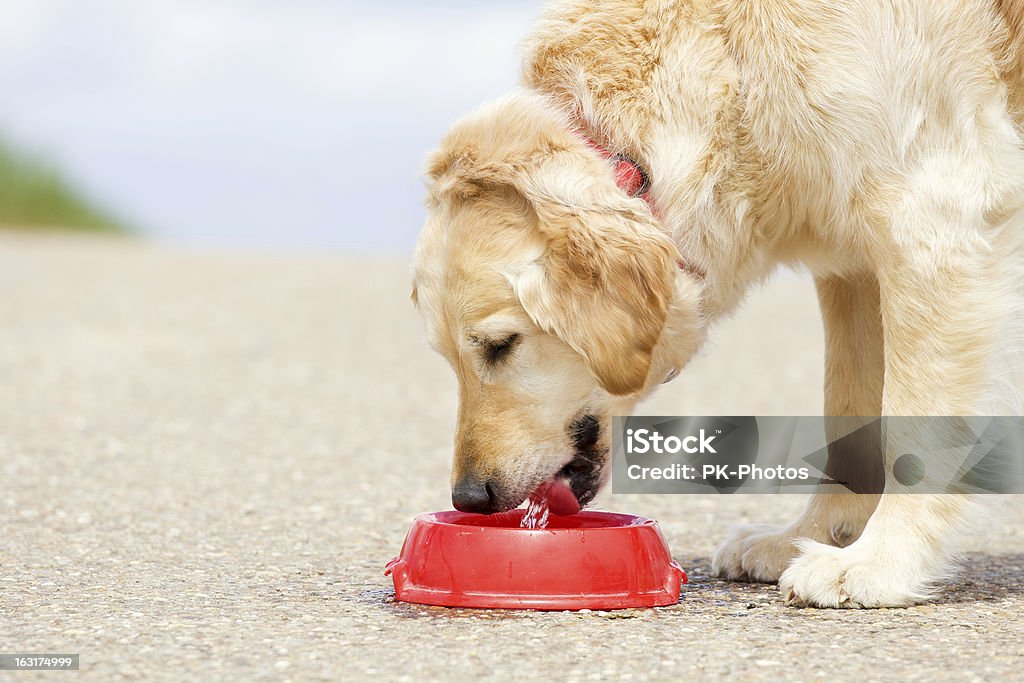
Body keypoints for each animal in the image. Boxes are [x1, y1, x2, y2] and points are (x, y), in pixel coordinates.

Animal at [407, 0, 1024, 610]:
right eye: (448, 359)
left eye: (501, 345)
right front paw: (815, 536)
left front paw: (880, 562)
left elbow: (912, 426)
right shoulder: (850, 263)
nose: (469, 498)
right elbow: (848, 410)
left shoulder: (928, 225)